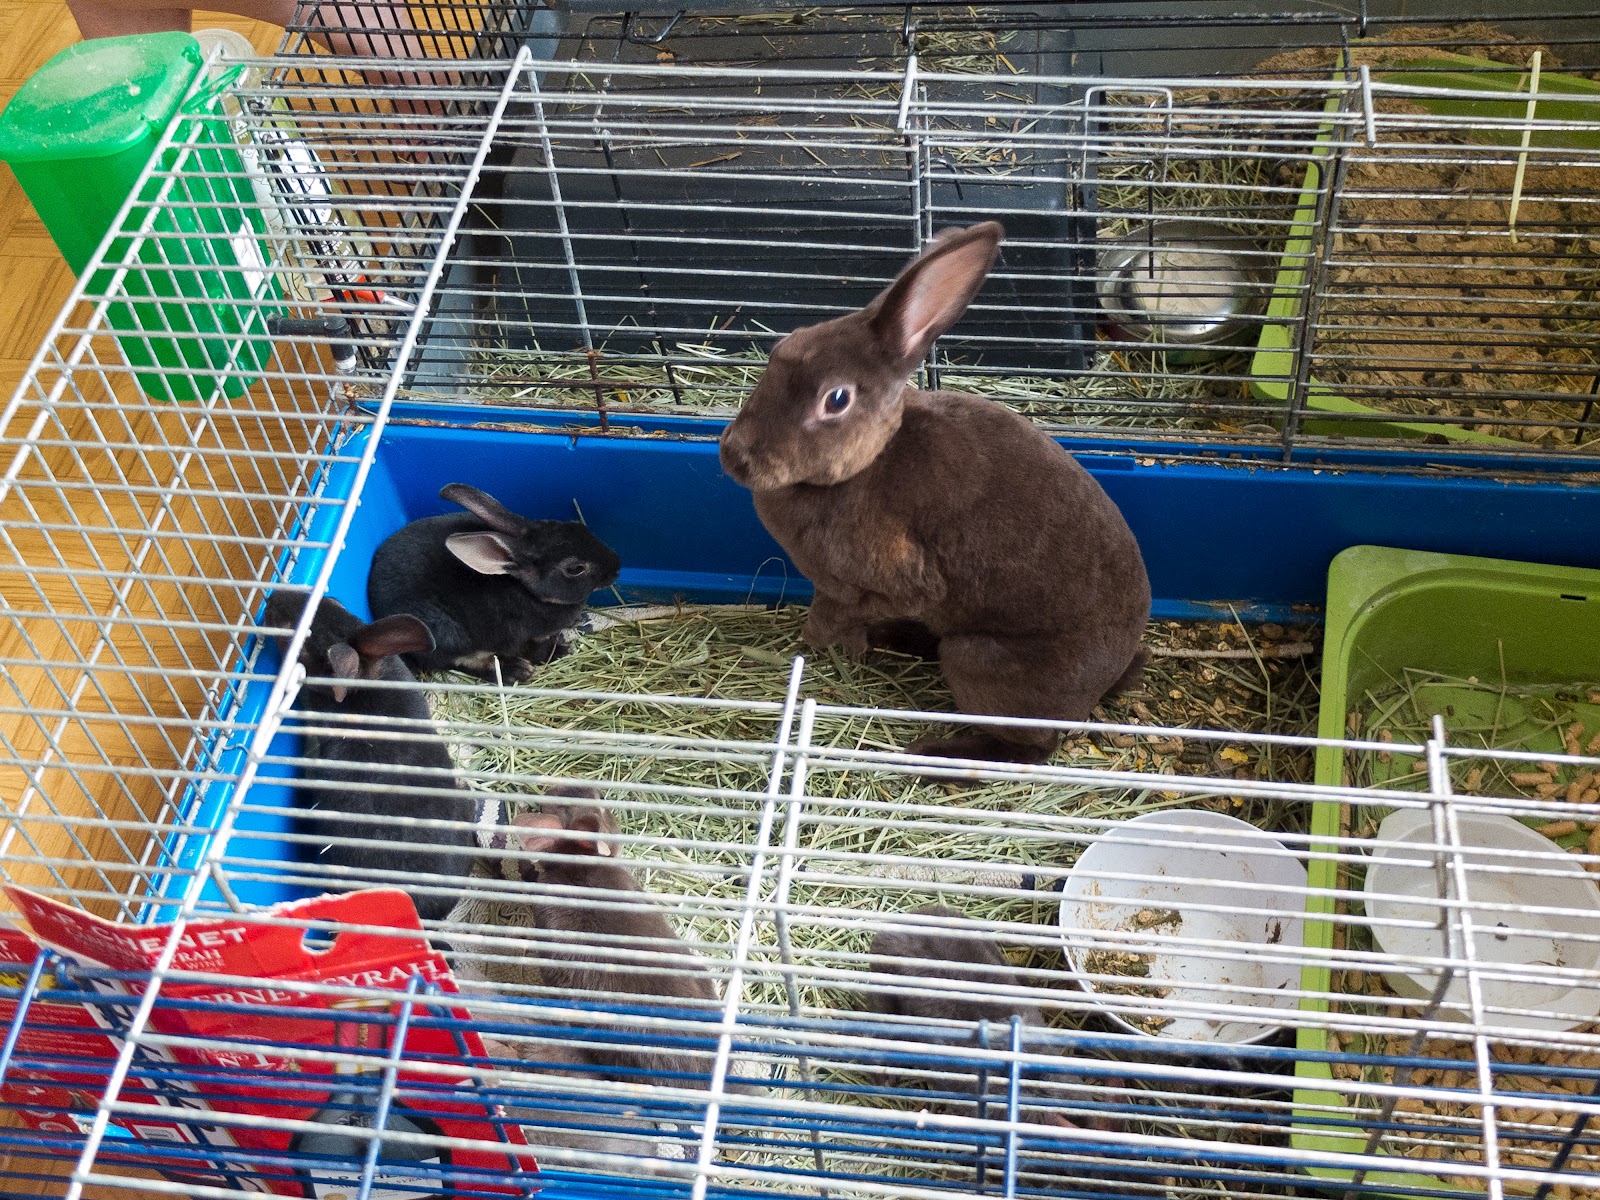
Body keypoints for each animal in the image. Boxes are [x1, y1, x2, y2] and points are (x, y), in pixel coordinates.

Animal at [367, 483, 622, 684]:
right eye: (575, 569)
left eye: (576, 525)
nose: (617, 566)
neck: (527, 591)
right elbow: (533, 647)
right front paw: (558, 650)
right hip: (445, 633)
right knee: (462, 660)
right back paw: (516, 670)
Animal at [718, 222, 1151, 764]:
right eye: (782, 350)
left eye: (836, 399)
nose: (734, 457)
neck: (870, 460)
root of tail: (1103, 685)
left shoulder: (887, 584)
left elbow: (840, 613)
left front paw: (818, 646)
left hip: (976, 658)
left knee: (1030, 748)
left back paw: (932, 754)